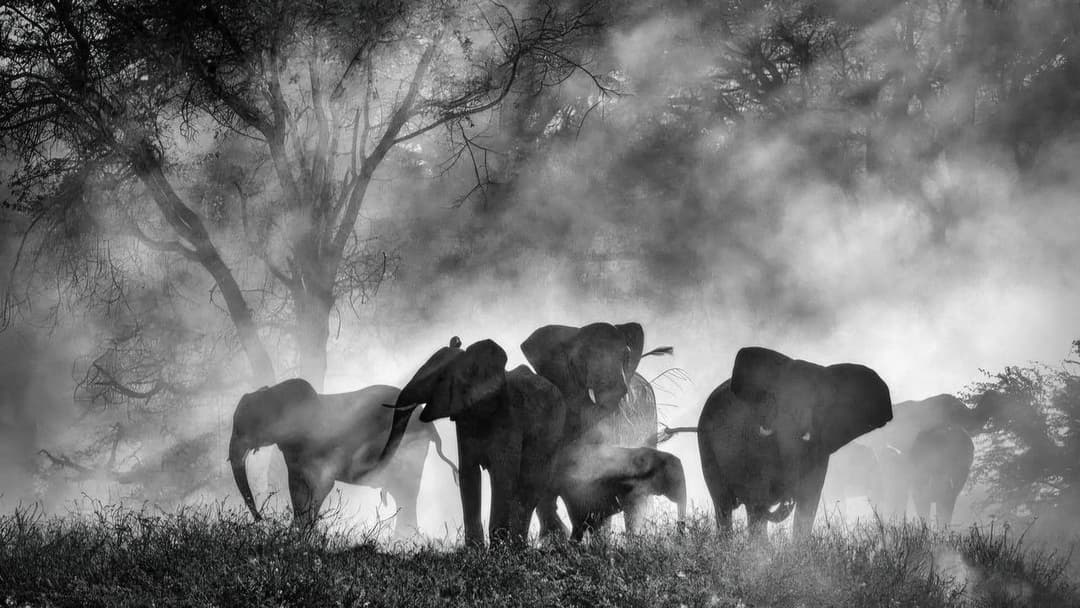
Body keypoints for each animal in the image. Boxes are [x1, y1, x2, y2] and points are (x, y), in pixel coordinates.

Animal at [228, 378, 457, 533]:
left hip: (410, 449)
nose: (261, 519)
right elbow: (297, 488)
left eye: (243, 428)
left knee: (406, 493)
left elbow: (322, 485)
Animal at [380, 338, 566, 547]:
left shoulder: (509, 417)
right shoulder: (464, 419)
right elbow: (468, 474)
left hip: (552, 434)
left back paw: (518, 547)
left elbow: (503, 475)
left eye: (440, 379)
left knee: (530, 486)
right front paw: (474, 549)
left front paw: (497, 549)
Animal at [698, 346, 893, 538]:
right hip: (706, 445)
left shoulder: (819, 449)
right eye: (775, 399)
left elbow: (808, 502)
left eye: (819, 404)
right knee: (724, 505)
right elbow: (757, 498)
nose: (788, 496)